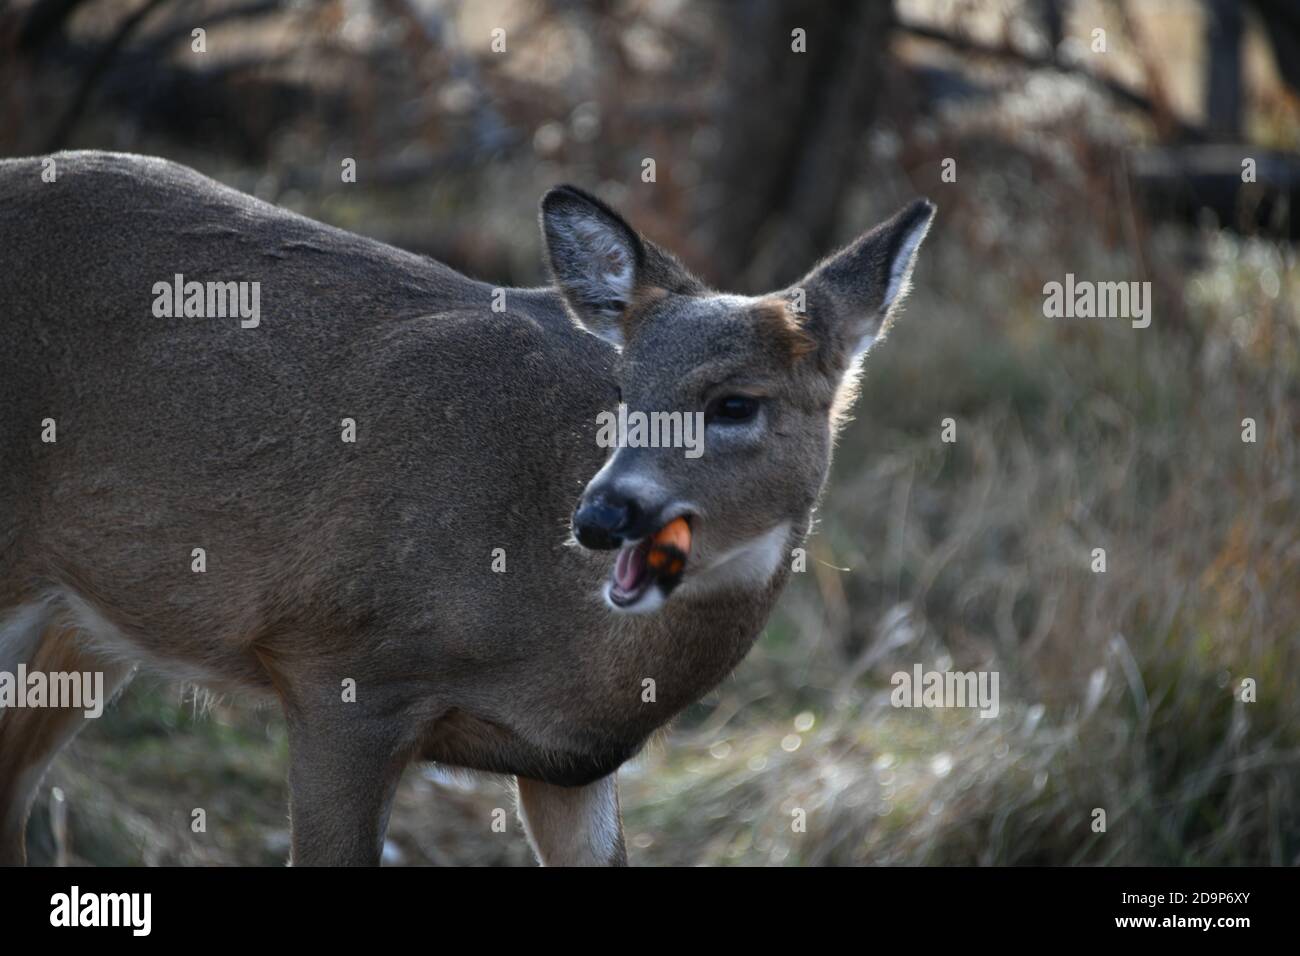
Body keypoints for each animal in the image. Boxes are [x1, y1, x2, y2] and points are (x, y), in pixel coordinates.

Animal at [0, 151, 935, 868]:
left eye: (735, 403)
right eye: (621, 393)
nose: (601, 518)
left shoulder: (572, 769)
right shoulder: (335, 663)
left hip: (79, 625)